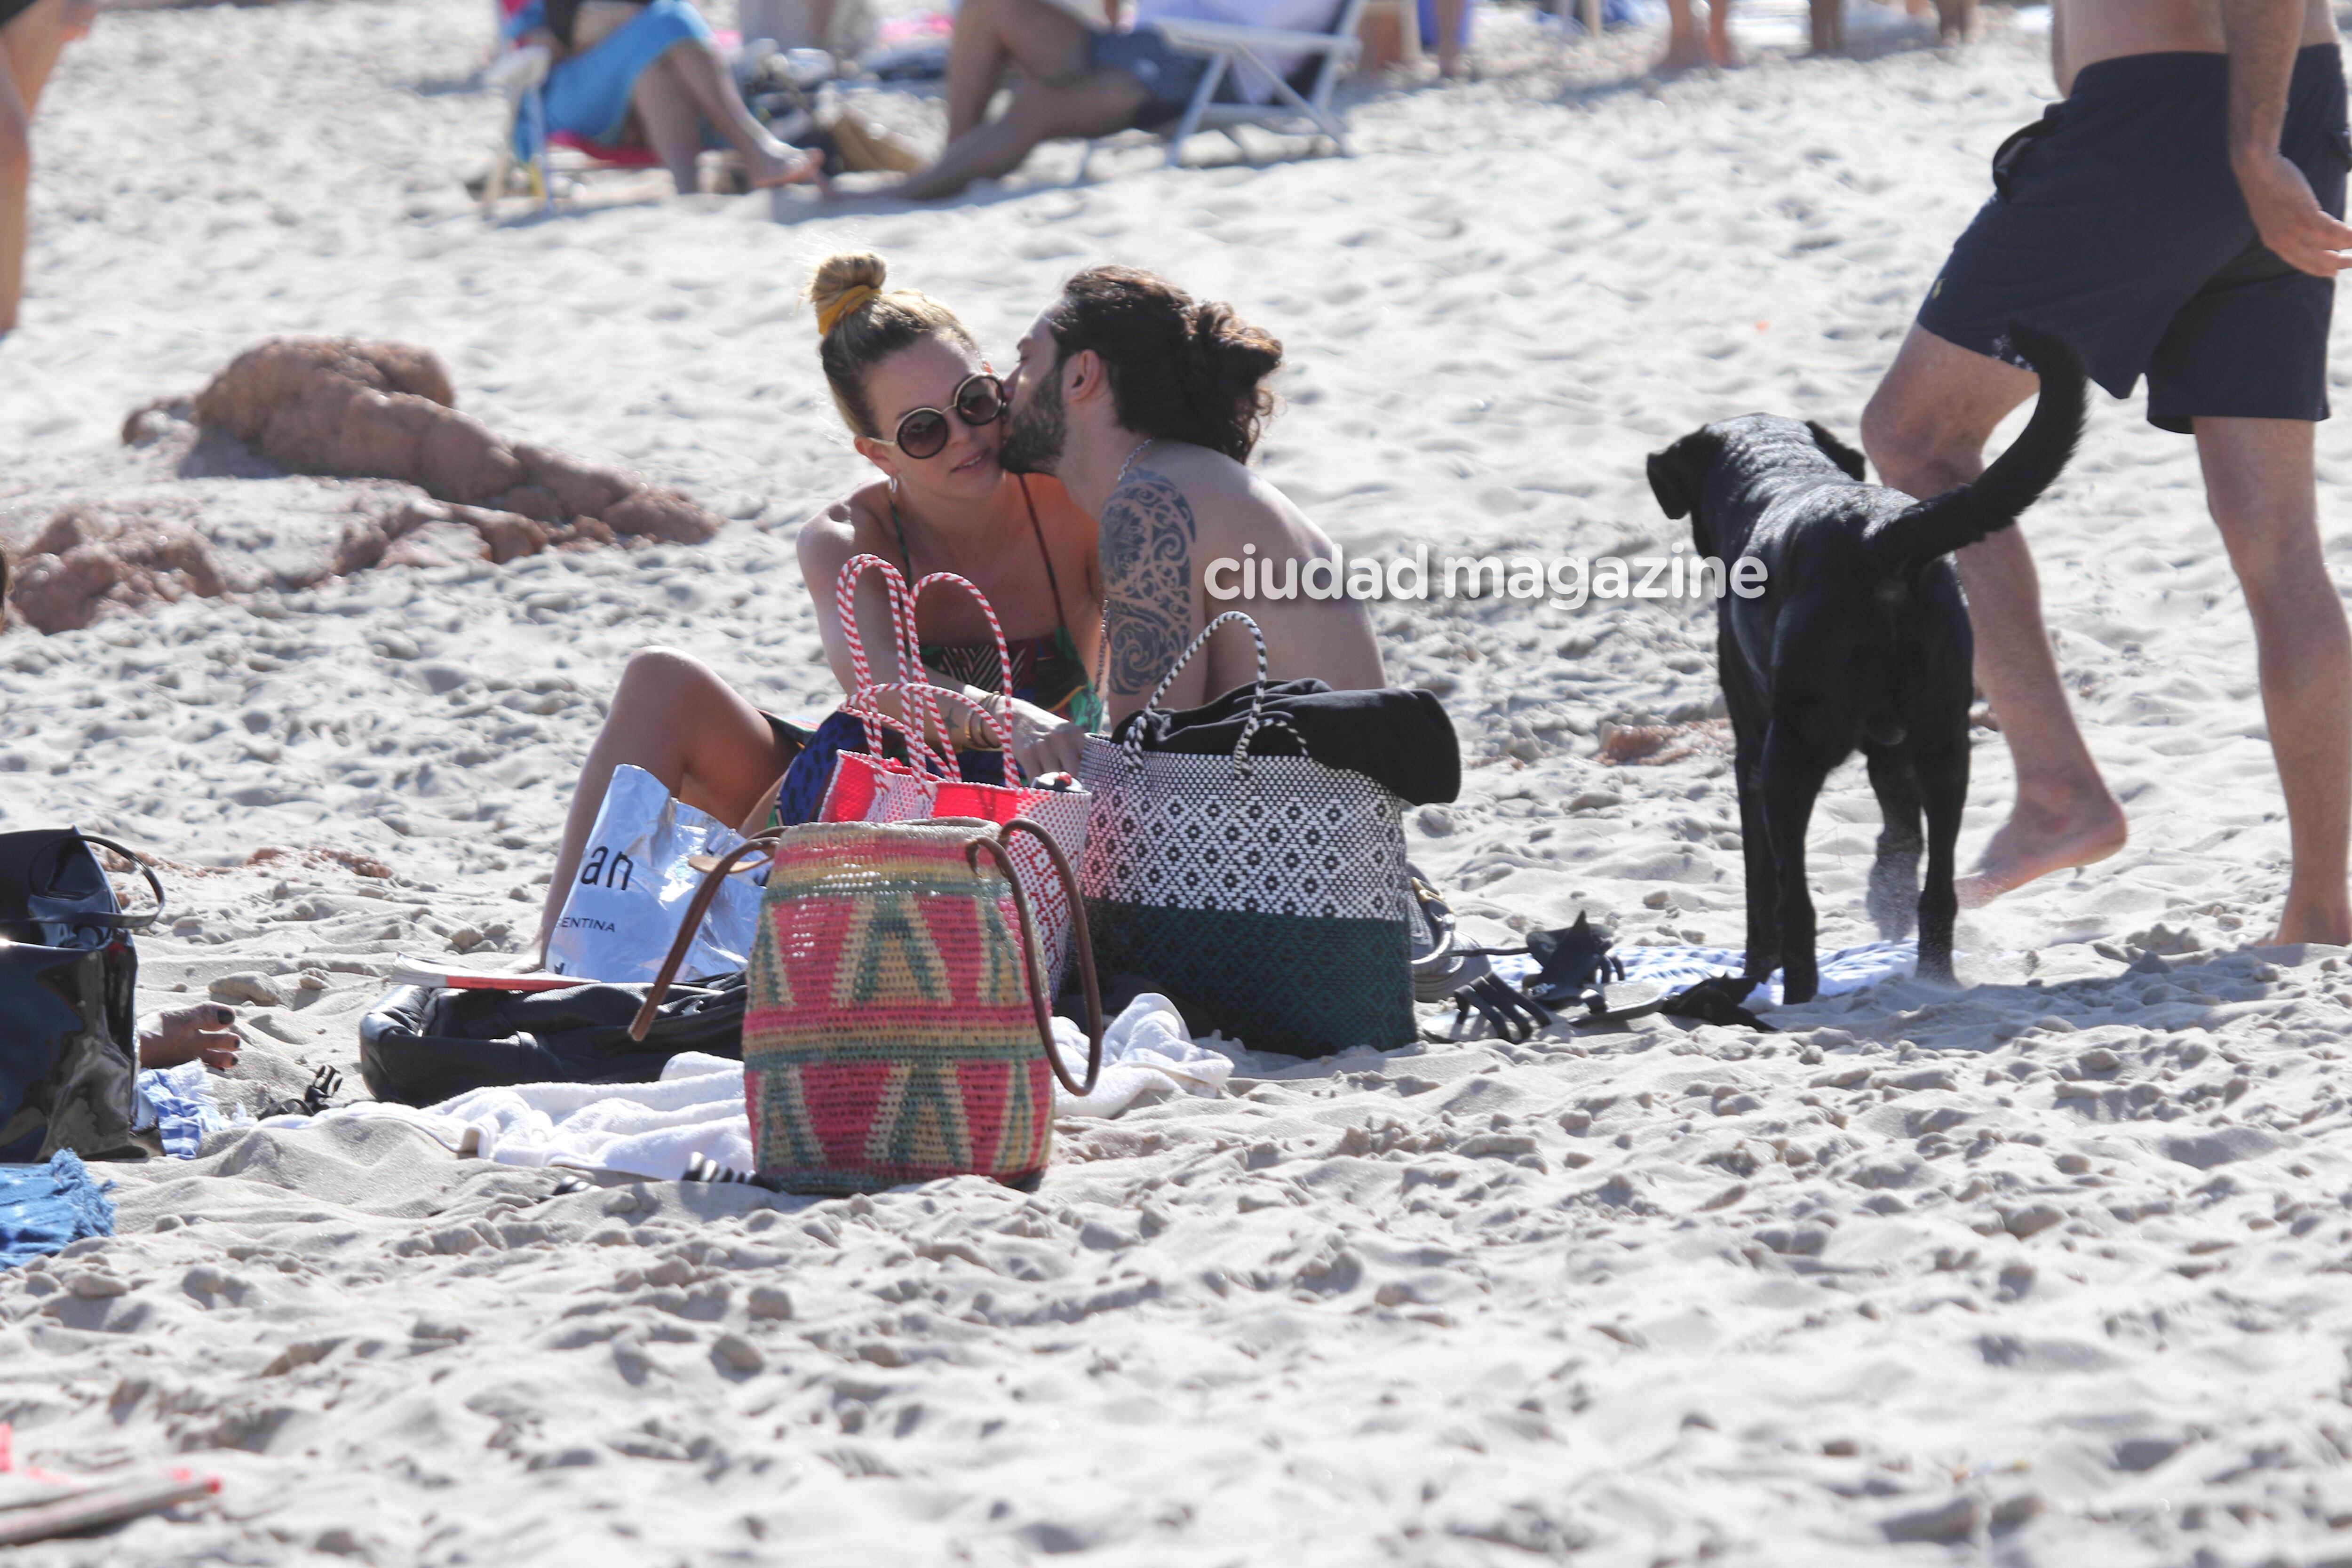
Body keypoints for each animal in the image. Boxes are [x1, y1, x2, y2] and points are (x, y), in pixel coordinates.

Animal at [1646, 324, 2089, 1001]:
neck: (1777, 469)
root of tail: (1880, 535)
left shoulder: (1752, 753)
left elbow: (1761, 883)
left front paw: (1754, 969)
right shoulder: (1893, 749)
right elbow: (1901, 834)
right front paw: (1887, 895)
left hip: (1790, 754)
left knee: (1797, 906)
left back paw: (1793, 998)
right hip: (1945, 744)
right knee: (1939, 891)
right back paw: (1932, 975)